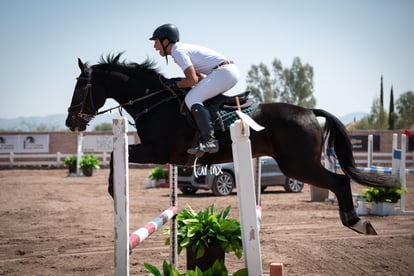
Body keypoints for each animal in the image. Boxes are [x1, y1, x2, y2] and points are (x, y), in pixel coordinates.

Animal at [66, 54, 396, 235]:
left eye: (80, 87)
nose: (72, 122)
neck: (155, 103)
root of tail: (307, 111)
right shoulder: (160, 154)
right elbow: (114, 154)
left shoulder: (158, 152)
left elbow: (114, 154)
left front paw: (114, 190)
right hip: (299, 164)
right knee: (339, 181)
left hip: (298, 165)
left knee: (339, 182)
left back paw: (357, 222)